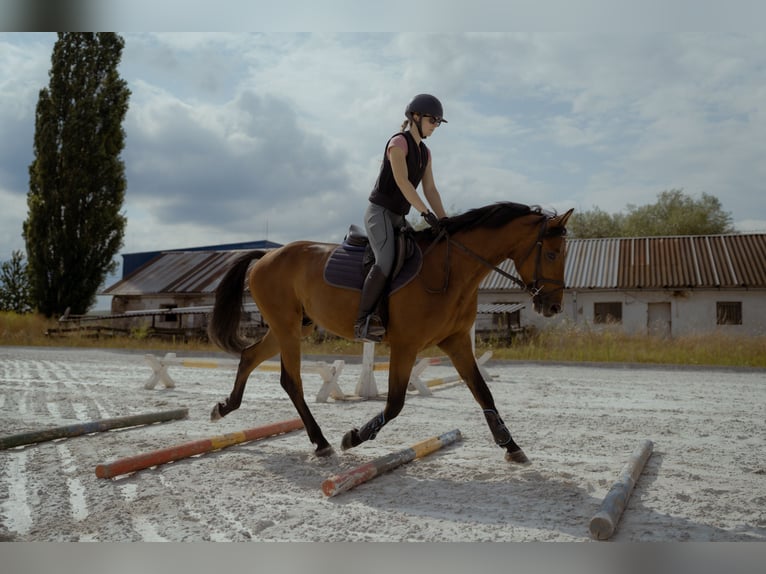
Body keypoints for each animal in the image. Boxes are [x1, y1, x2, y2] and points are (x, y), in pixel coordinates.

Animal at [207, 202, 572, 464]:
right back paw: (322, 442)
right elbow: (395, 402)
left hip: (294, 326)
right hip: (286, 327)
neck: (451, 270)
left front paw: (511, 446)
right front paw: (353, 438)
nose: (553, 306)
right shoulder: (406, 345)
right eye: (551, 253)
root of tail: (267, 254)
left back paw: (224, 408)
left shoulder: (455, 342)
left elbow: (484, 393)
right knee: (290, 380)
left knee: (249, 356)